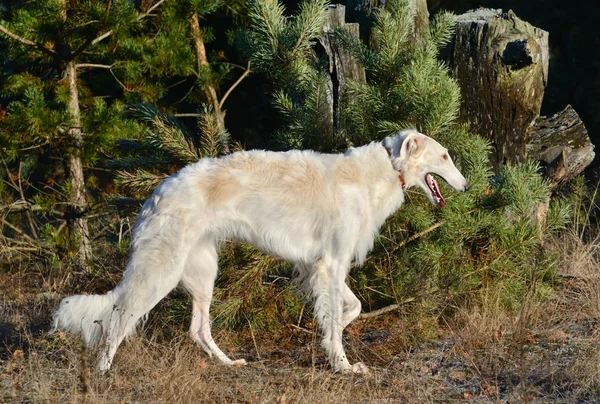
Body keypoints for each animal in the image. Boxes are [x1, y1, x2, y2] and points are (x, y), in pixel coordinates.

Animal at [51, 129, 468, 372]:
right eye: (445, 156)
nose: (466, 186)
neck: (380, 171)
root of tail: (158, 191)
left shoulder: (319, 267)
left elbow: (349, 309)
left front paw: (328, 341)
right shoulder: (333, 263)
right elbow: (339, 316)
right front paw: (343, 364)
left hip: (203, 270)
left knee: (197, 328)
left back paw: (227, 363)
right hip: (160, 271)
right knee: (117, 319)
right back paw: (103, 371)